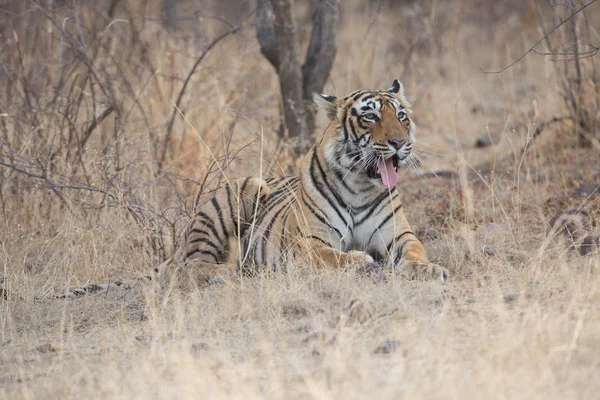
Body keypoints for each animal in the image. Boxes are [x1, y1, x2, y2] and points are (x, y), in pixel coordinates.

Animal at [58, 77, 448, 296]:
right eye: (370, 117)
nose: (399, 143)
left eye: (401, 116)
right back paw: (234, 272)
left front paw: (431, 270)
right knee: (191, 267)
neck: (360, 184)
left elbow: (416, 252)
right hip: (238, 193)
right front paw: (363, 264)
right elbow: (335, 257)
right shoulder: (308, 244)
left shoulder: (398, 235)